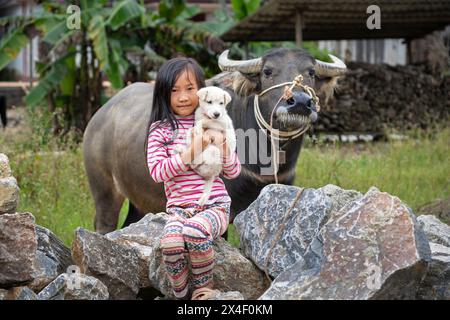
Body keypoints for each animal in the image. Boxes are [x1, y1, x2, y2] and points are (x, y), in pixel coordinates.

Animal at [82, 47, 346, 234]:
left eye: (311, 73)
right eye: (268, 71)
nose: (300, 102)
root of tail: (99, 116)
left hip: (139, 199)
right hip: (104, 190)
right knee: (104, 223)